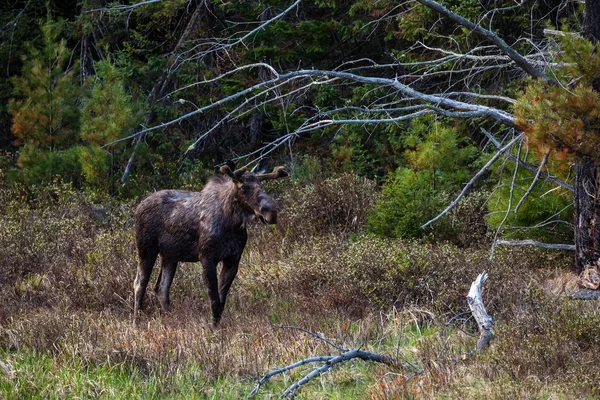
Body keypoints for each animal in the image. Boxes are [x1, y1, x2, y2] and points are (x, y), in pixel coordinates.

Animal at [134, 159, 288, 324]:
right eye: (243, 187)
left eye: (261, 185)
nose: (271, 212)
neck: (232, 224)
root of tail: (138, 207)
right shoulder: (207, 257)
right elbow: (214, 300)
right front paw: (213, 327)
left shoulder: (233, 259)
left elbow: (221, 300)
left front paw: (217, 326)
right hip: (146, 249)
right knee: (139, 283)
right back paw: (137, 321)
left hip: (170, 256)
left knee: (161, 288)